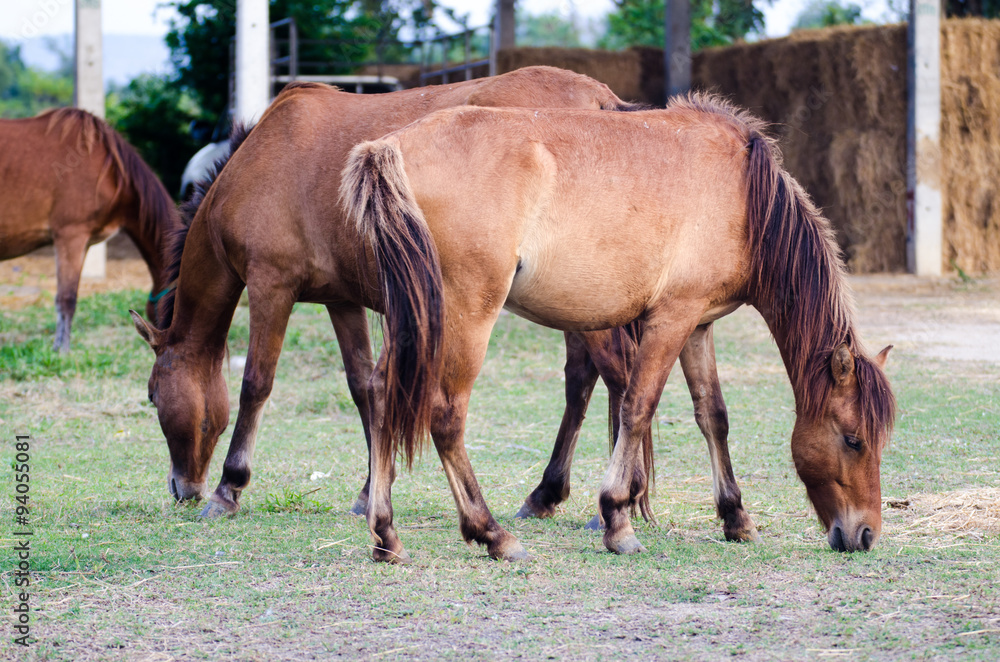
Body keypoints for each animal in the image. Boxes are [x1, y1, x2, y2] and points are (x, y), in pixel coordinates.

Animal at [346, 93, 900, 564]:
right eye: (853, 440)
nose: (865, 534)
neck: (743, 195)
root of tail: (389, 148)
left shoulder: (698, 325)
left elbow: (713, 416)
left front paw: (736, 518)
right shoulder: (671, 319)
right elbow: (638, 407)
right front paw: (617, 521)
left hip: (416, 317)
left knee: (382, 395)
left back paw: (387, 536)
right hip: (466, 315)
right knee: (446, 416)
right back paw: (493, 535)